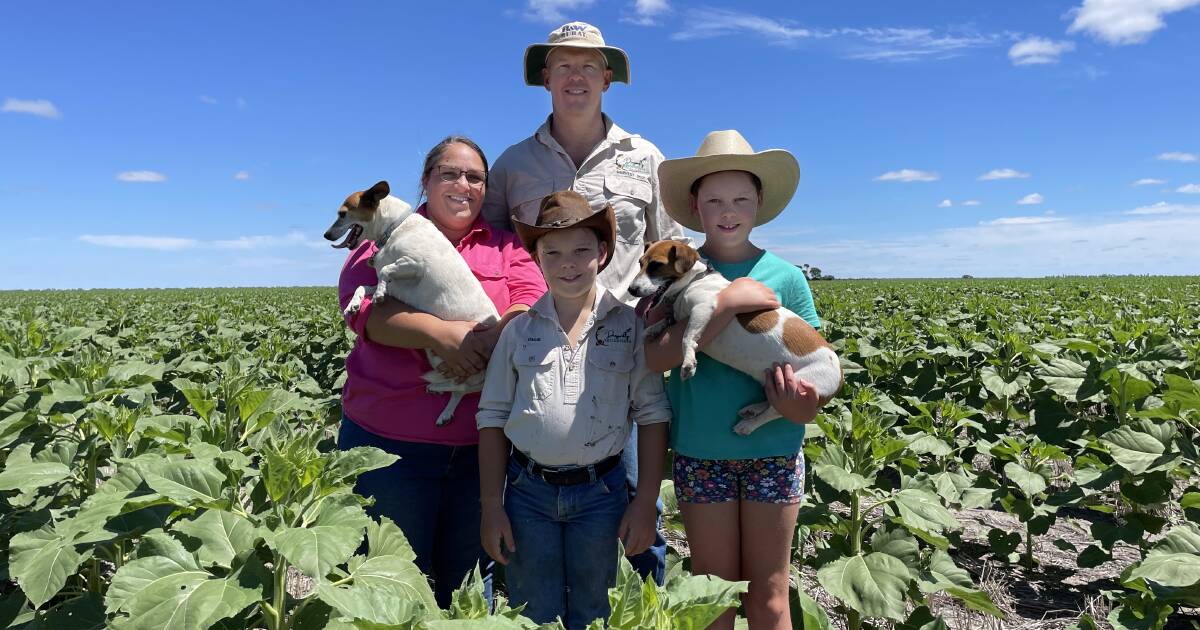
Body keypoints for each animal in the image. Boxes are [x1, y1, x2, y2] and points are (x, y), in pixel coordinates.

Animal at [321, 181, 499, 427]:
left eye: (342, 214)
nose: (326, 234)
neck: (393, 229)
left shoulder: (415, 264)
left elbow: (385, 270)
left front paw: (378, 295)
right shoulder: (393, 283)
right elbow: (364, 286)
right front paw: (354, 305)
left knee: (462, 386)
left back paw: (435, 386)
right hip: (435, 354)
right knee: (459, 389)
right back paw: (444, 408)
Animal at [633, 238, 840, 434]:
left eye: (656, 265)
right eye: (640, 263)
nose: (631, 289)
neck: (695, 280)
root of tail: (840, 377)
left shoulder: (703, 308)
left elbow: (687, 337)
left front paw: (688, 362)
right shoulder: (683, 315)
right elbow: (668, 321)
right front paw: (653, 329)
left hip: (796, 388)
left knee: (774, 412)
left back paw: (748, 425)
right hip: (775, 381)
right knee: (771, 401)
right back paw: (753, 408)